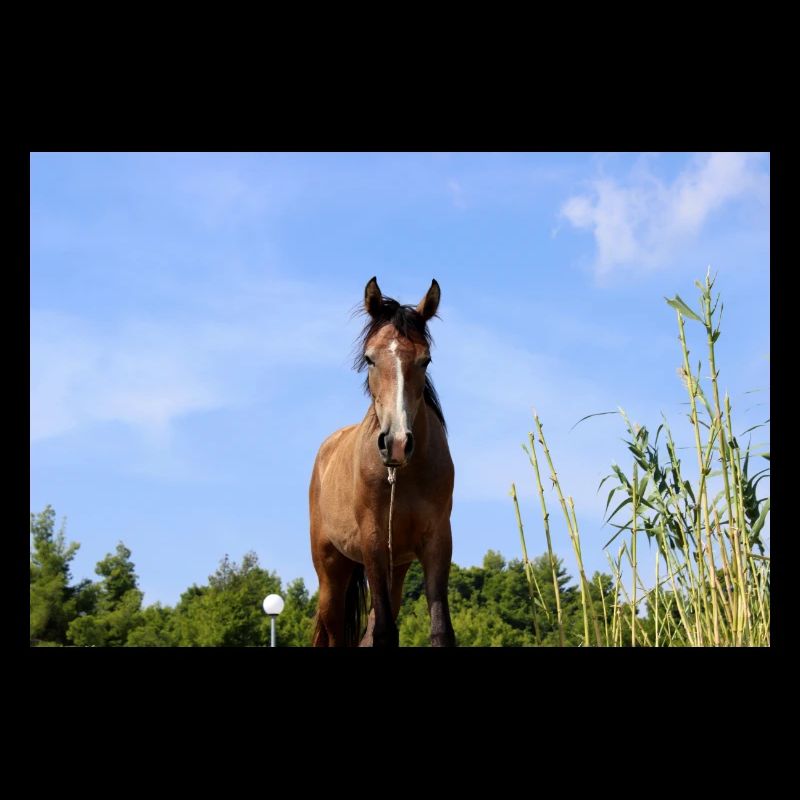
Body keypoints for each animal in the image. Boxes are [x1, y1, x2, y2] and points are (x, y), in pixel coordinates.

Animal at [309, 276, 456, 647]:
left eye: (425, 360)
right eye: (369, 358)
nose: (397, 443)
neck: (404, 476)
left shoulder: (437, 542)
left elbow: (439, 630)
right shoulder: (372, 542)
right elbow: (386, 632)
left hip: (395, 569)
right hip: (331, 571)